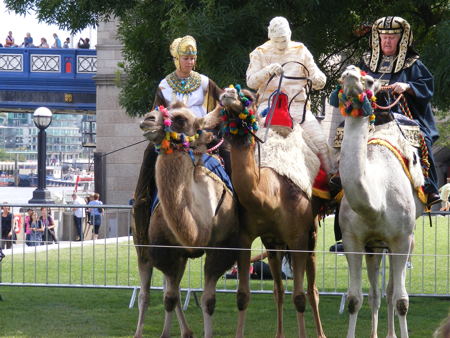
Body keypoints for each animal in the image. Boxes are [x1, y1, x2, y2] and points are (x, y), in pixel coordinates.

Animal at [133, 103, 241, 338]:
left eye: (180, 119)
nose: (147, 119)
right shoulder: (165, 250)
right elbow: (169, 298)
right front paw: (165, 334)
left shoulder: (221, 249)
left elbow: (208, 301)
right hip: (143, 243)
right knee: (147, 292)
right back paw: (140, 333)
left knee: (171, 288)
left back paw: (187, 331)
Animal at [215, 88, 326, 338]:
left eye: (247, 97)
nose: (227, 94)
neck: (270, 195)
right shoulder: (245, 237)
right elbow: (242, 296)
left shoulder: (298, 237)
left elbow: (299, 297)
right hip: (274, 243)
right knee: (279, 288)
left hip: (311, 236)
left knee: (312, 290)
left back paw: (321, 334)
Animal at [338, 65, 426, 338]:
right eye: (342, 79)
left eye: (368, 80)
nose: (350, 73)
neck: (376, 202)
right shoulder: (353, 239)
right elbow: (354, 298)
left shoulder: (401, 238)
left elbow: (402, 301)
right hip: (375, 245)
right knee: (377, 293)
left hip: (406, 240)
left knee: (391, 291)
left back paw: (391, 334)